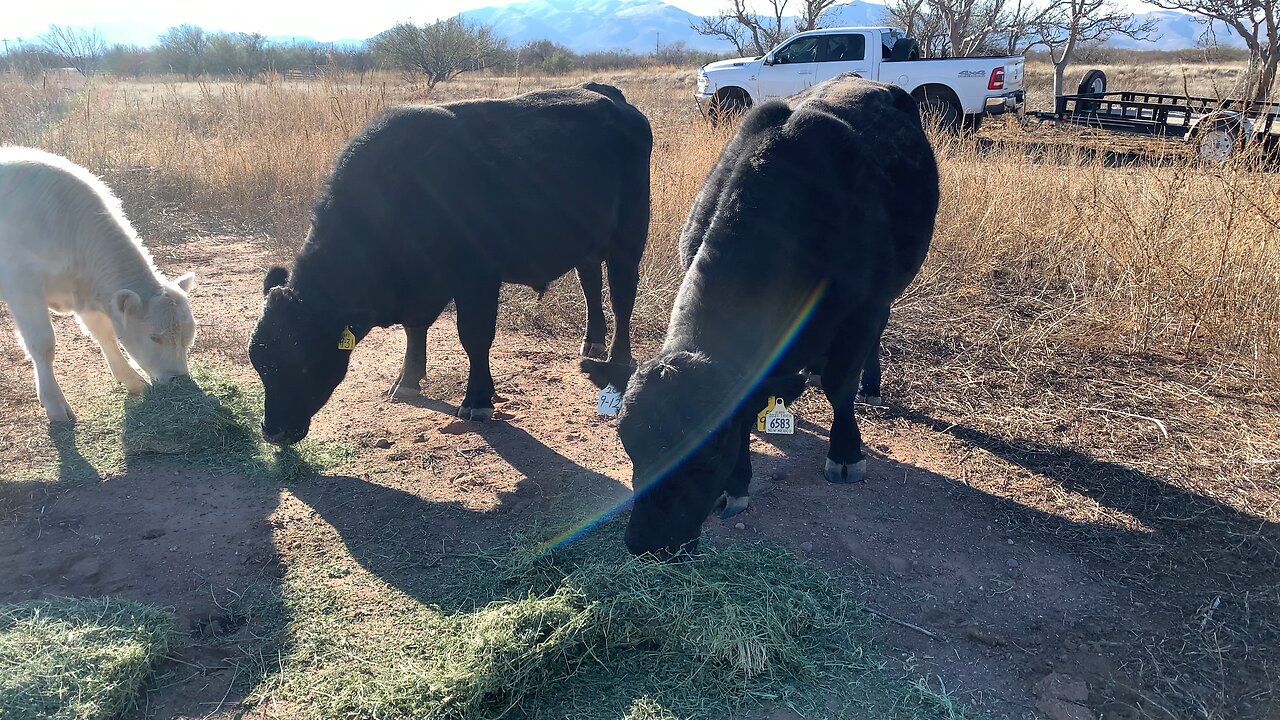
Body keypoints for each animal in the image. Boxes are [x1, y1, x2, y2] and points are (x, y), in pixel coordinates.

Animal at [0, 148, 197, 422]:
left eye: (189, 336)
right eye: (154, 337)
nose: (179, 380)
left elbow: (104, 333)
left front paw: (132, 380)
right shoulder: (22, 285)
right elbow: (42, 343)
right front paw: (55, 405)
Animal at [248, 82, 650, 443]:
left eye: (305, 362)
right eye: (258, 361)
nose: (273, 432)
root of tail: (608, 94)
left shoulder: (478, 280)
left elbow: (474, 337)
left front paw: (477, 400)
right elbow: (414, 329)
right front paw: (407, 381)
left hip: (629, 239)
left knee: (622, 296)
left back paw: (617, 359)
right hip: (587, 242)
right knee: (590, 284)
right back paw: (592, 342)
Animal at [586, 75, 936, 556]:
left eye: (711, 450)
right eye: (628, 441)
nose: (648, 544)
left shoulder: (864, 307)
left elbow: (840, 386)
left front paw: (846, 453)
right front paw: (738, 485)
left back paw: (870, 385)